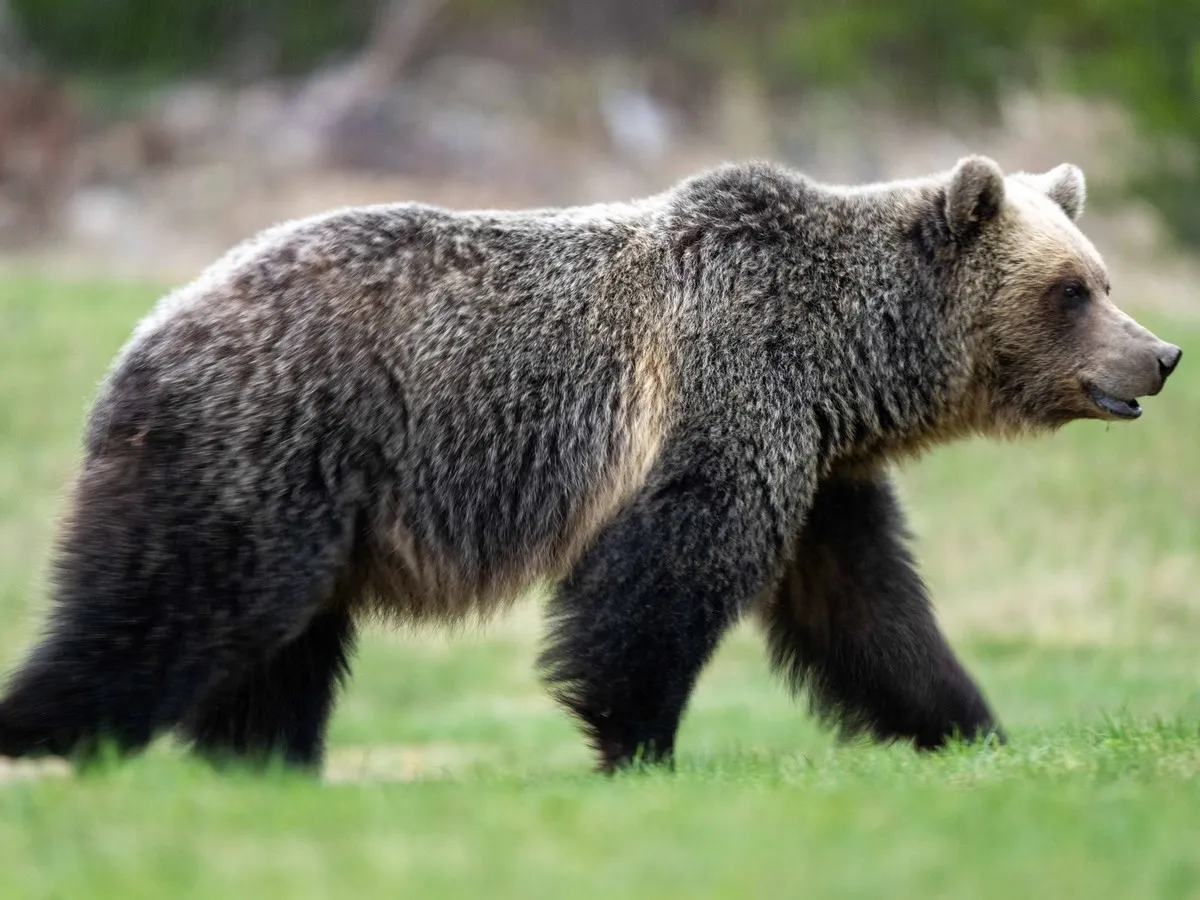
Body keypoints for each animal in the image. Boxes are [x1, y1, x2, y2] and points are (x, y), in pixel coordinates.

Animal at [0, 154, 1182, 773]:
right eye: (1073, 290)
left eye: (1103, 277)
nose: (1162, 354)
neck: (849, 359)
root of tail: (150, 331)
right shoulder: (722, 391)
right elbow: (662, 583)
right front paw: (639, 741)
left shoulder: (823, 468)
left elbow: (865, 606)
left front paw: (969, 726)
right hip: (263, 444)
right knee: (172, 606)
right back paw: (51, 734)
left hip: (311, 498)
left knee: (279, 648)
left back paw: (265, 763)